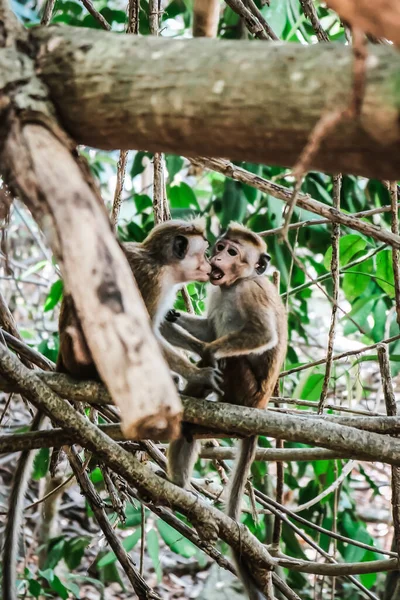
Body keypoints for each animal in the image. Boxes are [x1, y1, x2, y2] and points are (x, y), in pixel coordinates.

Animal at [166, 224, 288, 600]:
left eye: (233, 252)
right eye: (220, 247)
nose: (216, 257)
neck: (235, 283)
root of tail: (258, 409)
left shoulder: (251, 291)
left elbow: (261, 334)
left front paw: (206, 352)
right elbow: (208, 326)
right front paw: (174, 316)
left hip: (244, 393)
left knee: (231, 358)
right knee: (188, 429)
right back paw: (178, 482)